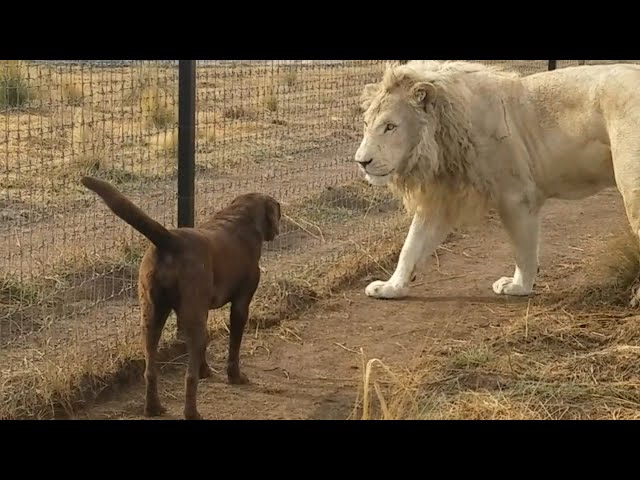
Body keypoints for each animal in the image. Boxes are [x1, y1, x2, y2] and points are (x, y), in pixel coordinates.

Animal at [80, 176, 280, 420]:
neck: (239, 218)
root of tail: (169, 240)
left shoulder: (198, 312)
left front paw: (205, 370)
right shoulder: (241, 304)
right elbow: (234, 346)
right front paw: (235, 377)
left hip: (152, 316)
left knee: (150, 370)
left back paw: (153, 408)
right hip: (188, 318)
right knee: (188, 377)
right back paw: (192, 413)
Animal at [358, 60, 640, 306]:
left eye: (390, 126)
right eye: (366, 123)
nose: (361, 161)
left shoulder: (516, 197)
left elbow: (523, 249)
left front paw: (519, 287)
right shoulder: (442, 199)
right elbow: (411, 247)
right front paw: (391, 287)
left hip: (632, 186)